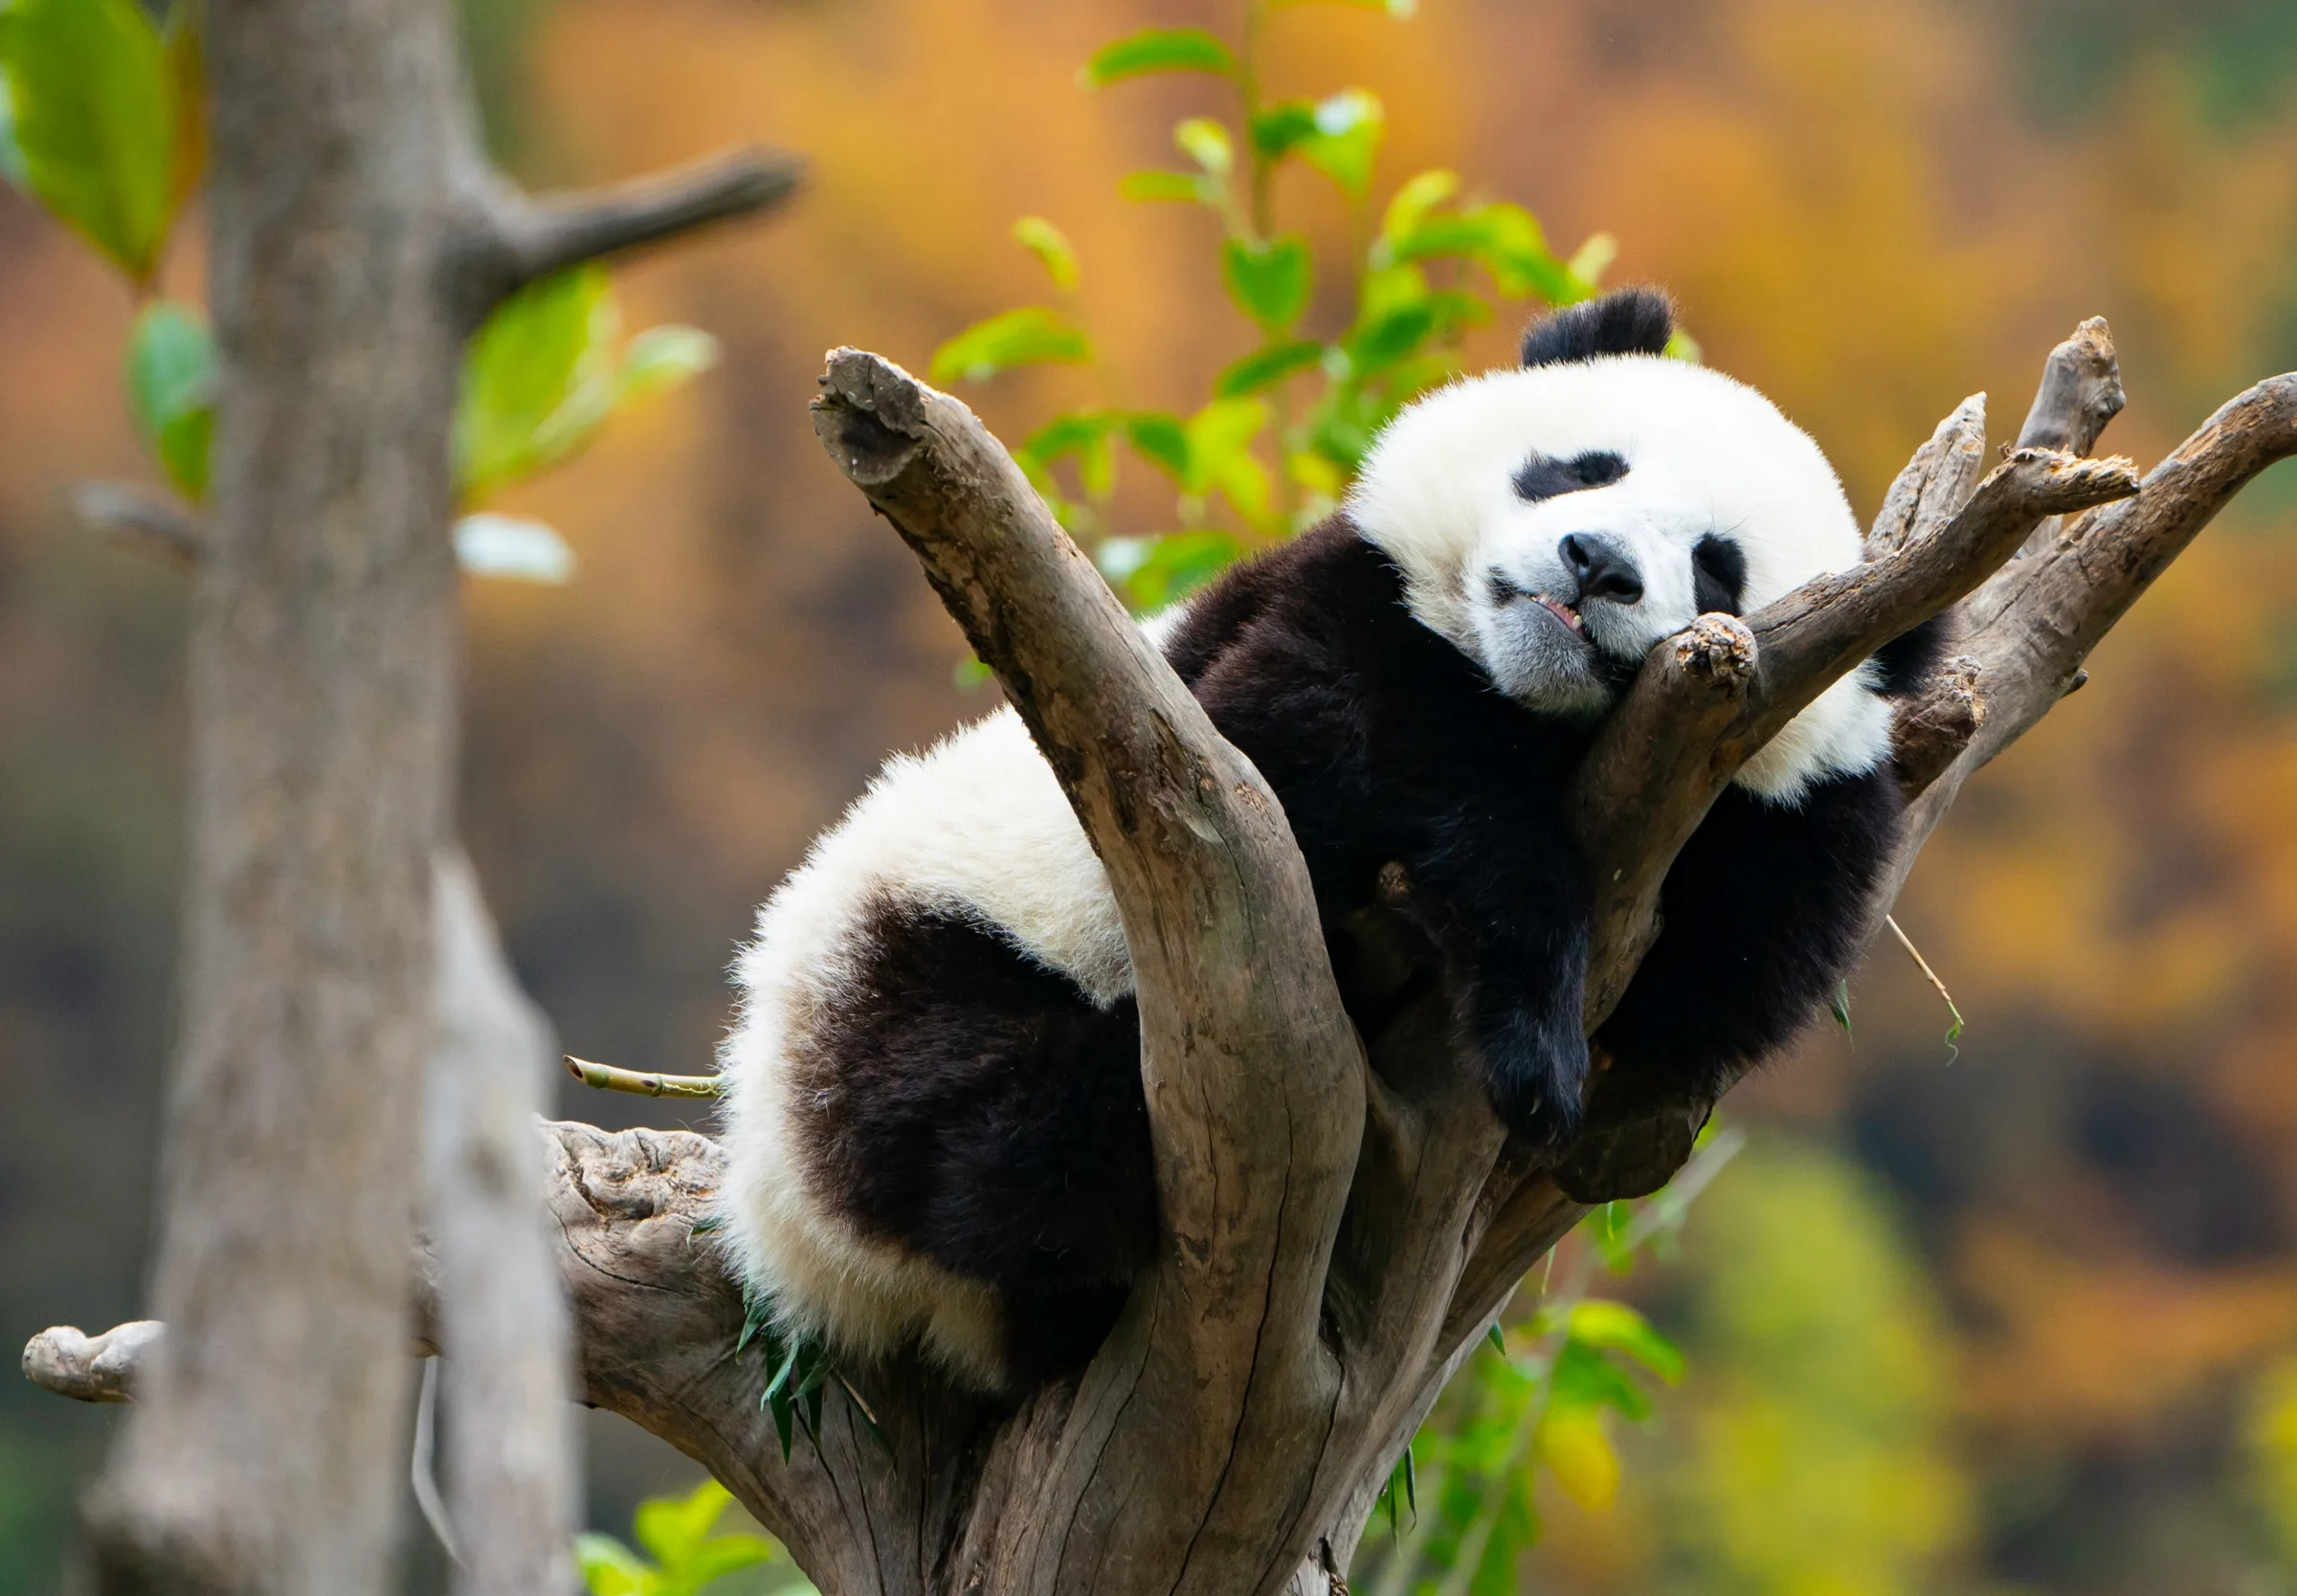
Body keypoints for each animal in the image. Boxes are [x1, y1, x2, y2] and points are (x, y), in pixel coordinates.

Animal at [715, 288, 1941, 1395]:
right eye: (1582, 468)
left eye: (1718, 567)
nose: (1595, 562)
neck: (1534, 704)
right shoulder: (1285, 644)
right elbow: (1323, 741)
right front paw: (1533, 1036)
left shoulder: (1785, 824)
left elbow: (1731, 977)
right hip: (913, 955)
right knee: (974, 1130)